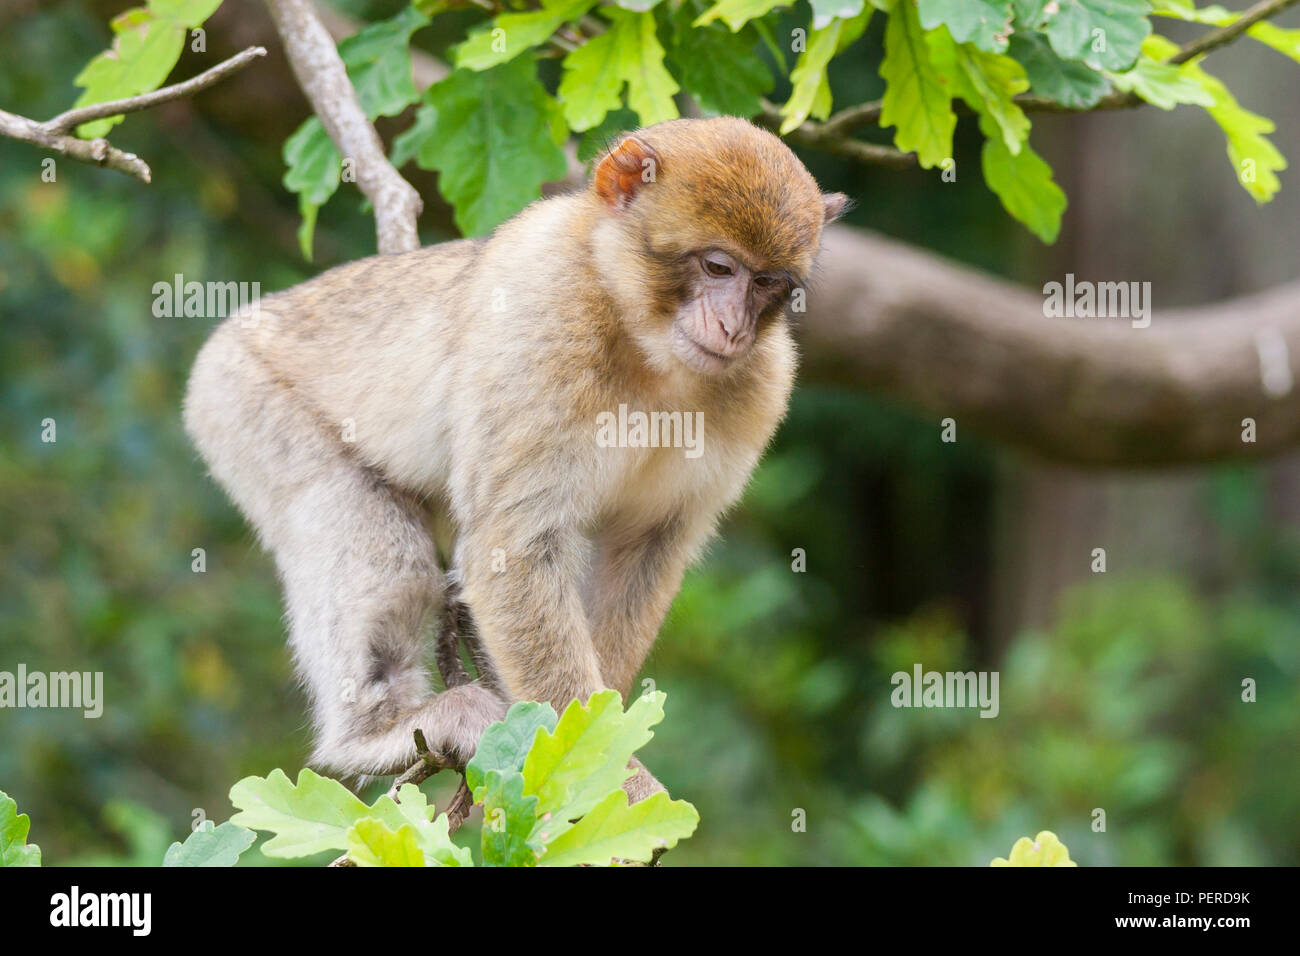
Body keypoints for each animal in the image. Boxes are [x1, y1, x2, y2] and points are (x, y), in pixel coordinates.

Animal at [183, 116, 847, 799]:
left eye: (768, 284)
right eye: (718, 266)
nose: (734, 328)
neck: (645, 342)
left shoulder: (764, 386)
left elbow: (646, 548)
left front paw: (599, 742)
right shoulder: (544, 316)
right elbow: (514, 549)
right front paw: (614, 779)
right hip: (239, 400)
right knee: (384, 556)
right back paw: (376, 732)